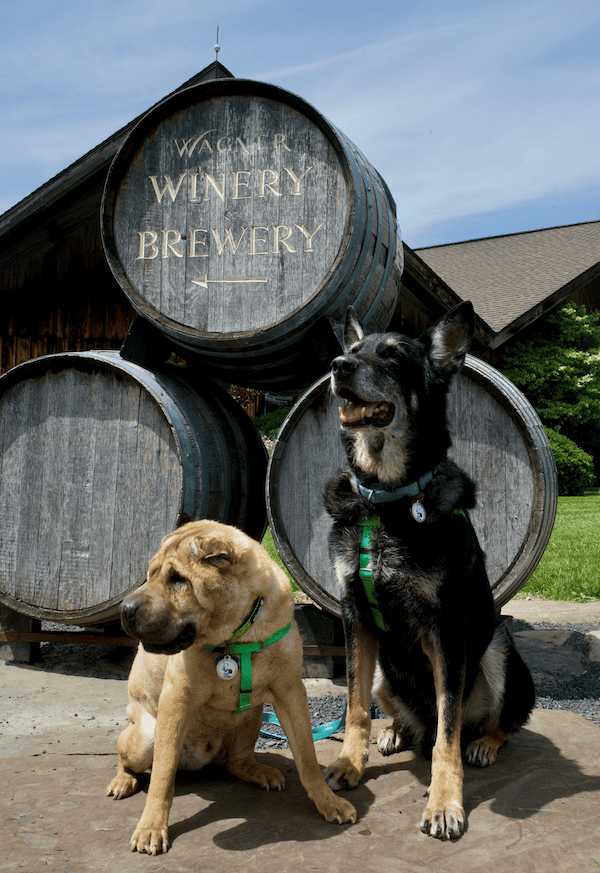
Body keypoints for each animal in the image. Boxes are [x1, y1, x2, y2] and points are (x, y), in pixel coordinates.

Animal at [107, 516, 356, 852]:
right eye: (150, 575)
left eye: (178, 579)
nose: (124, 610)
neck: (238, 636)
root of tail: (198, 762)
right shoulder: (176, 700)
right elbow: (162, 775)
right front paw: (151, 827)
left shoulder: (289, 693)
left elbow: (307, 757)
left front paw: (328, 803)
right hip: (146, 736)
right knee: (128, 756)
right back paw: (123, 780)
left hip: (252, 715)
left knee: (237, 762)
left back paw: (259, 772)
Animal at [324, 302, 536, 836]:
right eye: (353, 349)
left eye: (393, 356)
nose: (337, 367)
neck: (384, 501)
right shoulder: (354, 617)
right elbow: (354, 708)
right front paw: (350, 764)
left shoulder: (446, 627)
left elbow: (447, 734)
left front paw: (444, 804)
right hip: (384, 670)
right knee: (400, 714)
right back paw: (395, 732)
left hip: (497, 648)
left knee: (495, 722)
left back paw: (483, 744)